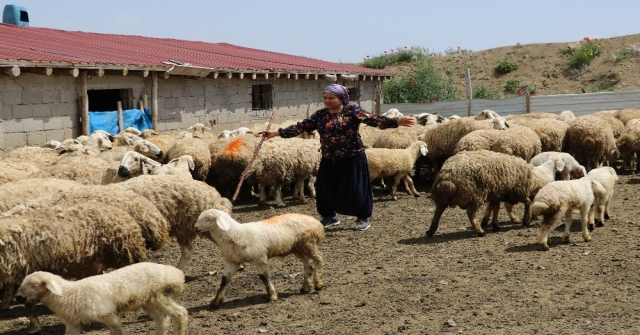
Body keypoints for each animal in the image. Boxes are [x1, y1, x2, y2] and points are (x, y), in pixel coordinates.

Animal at [16, 262, 188, 335]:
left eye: (34, 285)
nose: (18, 297)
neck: (71, 293)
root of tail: (176, 274)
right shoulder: (73, 323)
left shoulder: (108, 314)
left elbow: (116, 330)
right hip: (148, 302)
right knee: (162, 320)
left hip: (159, 296)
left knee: (180, 313)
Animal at [194, 210, 324, 310]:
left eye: (208, 219)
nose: (195, 228)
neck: (236, 234)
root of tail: (317, 223)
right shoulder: (233, 261)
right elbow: (224, 280)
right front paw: (216, 302)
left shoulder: (260, 258)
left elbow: (264, 277)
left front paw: (271, 296)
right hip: (297, 248)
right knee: (309, 264)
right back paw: (306, 287)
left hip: (308, 243)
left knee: (319, 259)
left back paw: (318, 284)